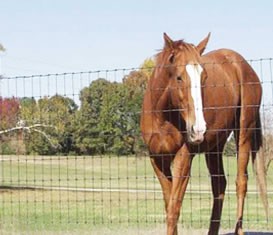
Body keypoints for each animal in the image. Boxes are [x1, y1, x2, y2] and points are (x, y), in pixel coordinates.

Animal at [140, 33, 266, 235]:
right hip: (215, 147)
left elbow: (174, 210)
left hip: (243, 133)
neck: (163, 117)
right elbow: (169, 205)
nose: (198, 129)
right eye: (179, 78)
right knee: (219, 185)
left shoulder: (184, 157)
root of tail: (244, 65)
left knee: (241, 182)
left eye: (204, 77)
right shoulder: (157, 159)